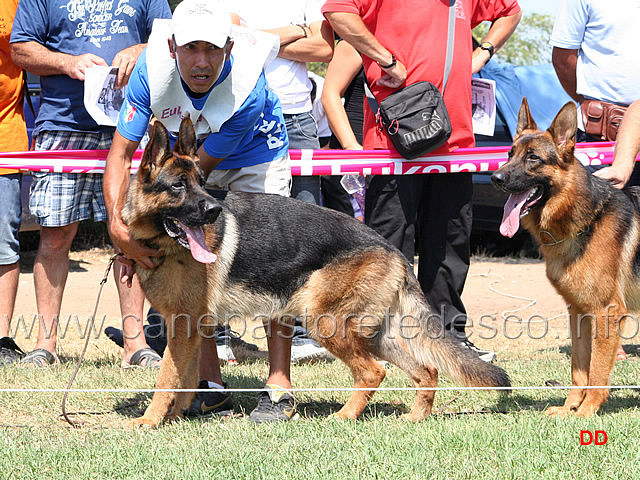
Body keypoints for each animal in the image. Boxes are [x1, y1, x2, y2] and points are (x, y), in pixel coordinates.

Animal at [125, 118, 510, 426]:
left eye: (201, 183)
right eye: (178, 185)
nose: (214, 211)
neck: (162, 243)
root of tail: (393, 250)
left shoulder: (185, 327)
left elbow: (166, 378)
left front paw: (149, 422)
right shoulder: (189, 327)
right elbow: (184, 377)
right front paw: (173, 417)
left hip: (324, 322)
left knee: (373, 371)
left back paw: (344, 416)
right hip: (374, 334)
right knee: (425, 370)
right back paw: (415, 418)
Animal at [492, 98, 636, 416]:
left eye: (533, 158)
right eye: (509, 154)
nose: (495, 178)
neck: (586, 221)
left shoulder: (606, 313)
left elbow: (596, 373)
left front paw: (586, 412)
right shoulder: (578, 313)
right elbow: (579, 369)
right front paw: (569, 409)